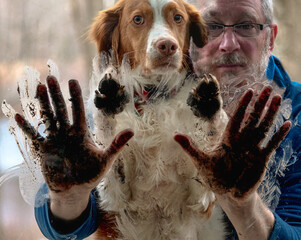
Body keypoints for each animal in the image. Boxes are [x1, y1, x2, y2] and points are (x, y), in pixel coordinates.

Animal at [88, 0, 229, 239]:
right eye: (138, 19)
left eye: (178, 17)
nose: (167, 46)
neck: (153, 98)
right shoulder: (116, 197)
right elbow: (110, 151)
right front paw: (108, 103)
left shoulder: (199, 200)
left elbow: (205, 153)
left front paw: (209, 105)